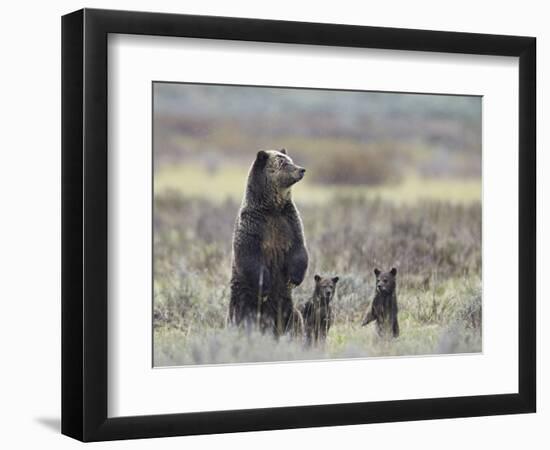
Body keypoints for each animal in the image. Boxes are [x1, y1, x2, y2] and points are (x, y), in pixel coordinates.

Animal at [229, 149, 310, 336]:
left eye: (290, 160)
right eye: (284, 163)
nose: (301, 169)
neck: (272, 208)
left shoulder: (289, 222)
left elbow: (299, 249)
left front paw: (295, 278)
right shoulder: (253, 226)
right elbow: (249, 256)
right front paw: (264, 286)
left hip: (286, 303)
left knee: (294, 318)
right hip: (243, 298)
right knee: (242, 316)